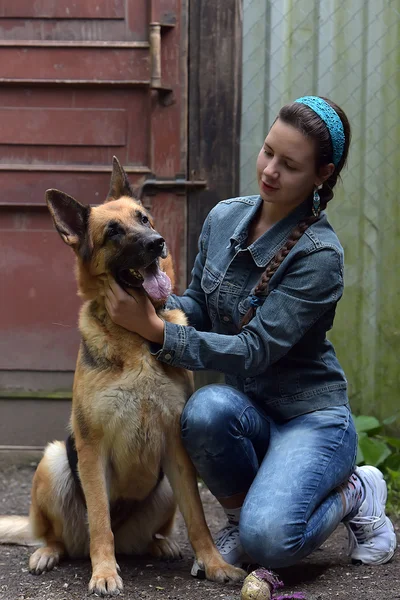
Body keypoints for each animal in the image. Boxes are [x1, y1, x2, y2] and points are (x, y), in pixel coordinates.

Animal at [0, 158, 245, 596]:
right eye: (113, 232)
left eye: (143, 218)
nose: (158, 242)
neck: (136, 338)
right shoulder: (92, 449)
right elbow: (100, 519)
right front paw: (104, 572)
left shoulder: (177, 450)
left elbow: (199, 519)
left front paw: (215, 563)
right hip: (54, 461)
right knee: (59, 535)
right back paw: (50, 552)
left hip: (164, 488)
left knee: (152, 533)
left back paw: (160, 545)